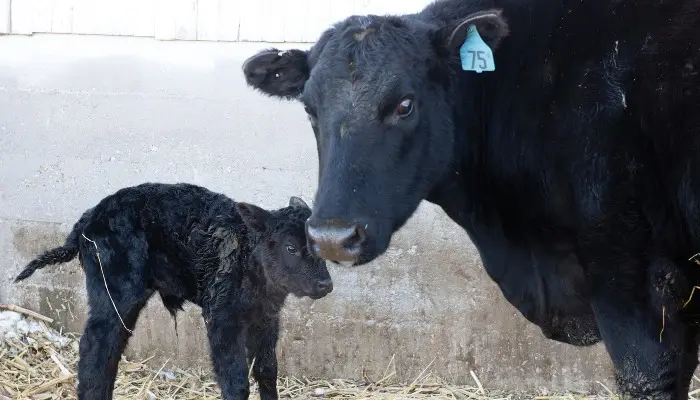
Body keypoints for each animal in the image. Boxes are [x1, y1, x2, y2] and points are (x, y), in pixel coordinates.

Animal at [13, 182, 333, 400]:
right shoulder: (222, 317)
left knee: (110, 348)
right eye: (290, 248)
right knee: (95, 346)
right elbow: (236, 379)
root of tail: (87, 221)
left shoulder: (266, 320)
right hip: (114, 290)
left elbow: (267, 371)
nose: (325, 285)